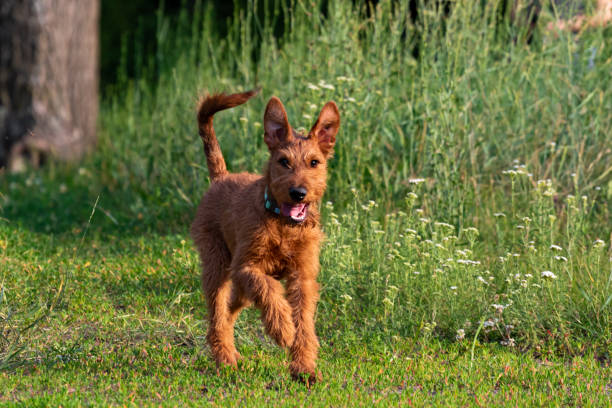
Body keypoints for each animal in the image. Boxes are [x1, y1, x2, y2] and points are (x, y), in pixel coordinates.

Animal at [191, 87, 340, 384]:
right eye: (283, 162)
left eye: (314, 162)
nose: (298, 193)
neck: (283, 226)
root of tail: (221, 177)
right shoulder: (246, 267)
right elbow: (268, 288)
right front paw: (282, 328)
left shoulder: (302, 277)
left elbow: (304, 323)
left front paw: (304, 368)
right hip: (217, 265)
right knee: (217, 316)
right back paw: (225, 359)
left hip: (238, 288)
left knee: (227, 313)